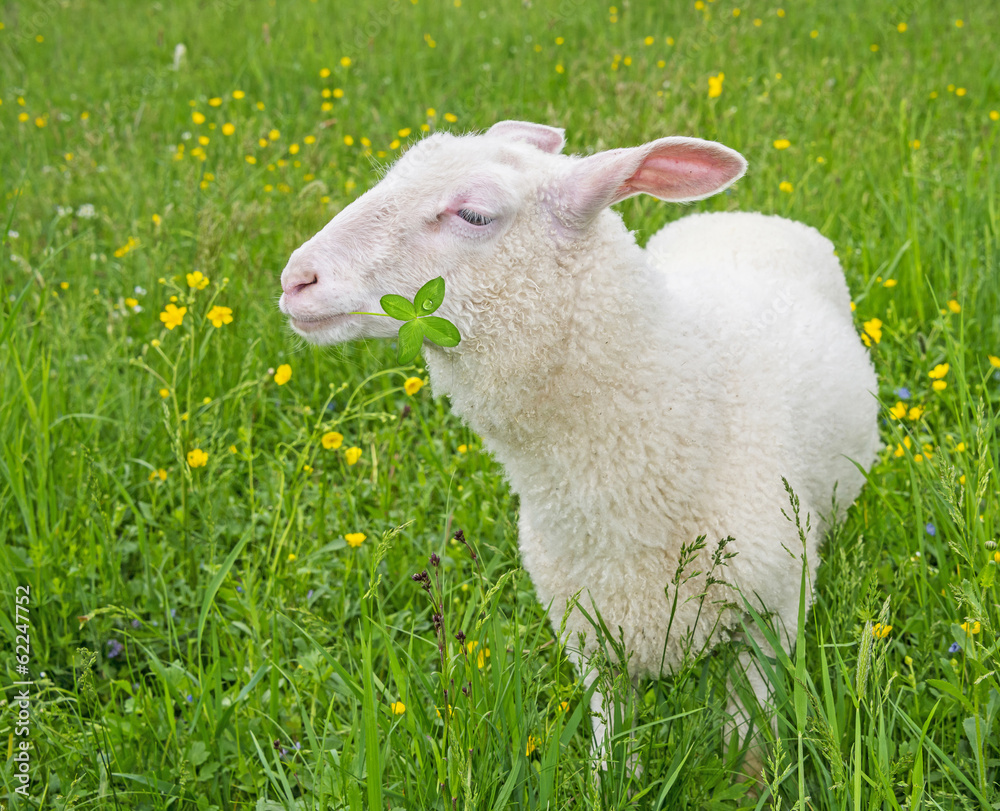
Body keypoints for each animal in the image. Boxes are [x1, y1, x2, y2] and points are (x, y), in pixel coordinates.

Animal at [278, 120, 880, 777]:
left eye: (474, 214)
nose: (295, 279)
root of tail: (748, 214)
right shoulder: (587, 630)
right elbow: (611, 745)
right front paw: (610, 778)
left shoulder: (774, 613)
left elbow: (747, 739)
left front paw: (747, 782)